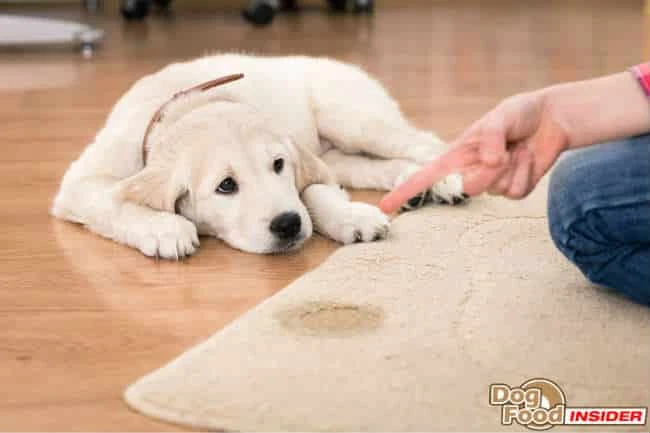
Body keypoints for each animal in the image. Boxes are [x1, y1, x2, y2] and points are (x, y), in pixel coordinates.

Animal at [53, 53, 464, 256]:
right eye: (226, 186)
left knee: (425, 141)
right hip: (338, 154)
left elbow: (315, 192)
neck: (186, 106)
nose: (288, 225)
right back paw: (414, 186)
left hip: (352, 118)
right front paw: (164, 228)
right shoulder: (79, 183)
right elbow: (112, 201)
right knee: (371, 166)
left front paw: (350, 217)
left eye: (278, 165)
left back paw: (445, 180)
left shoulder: (305, 164)